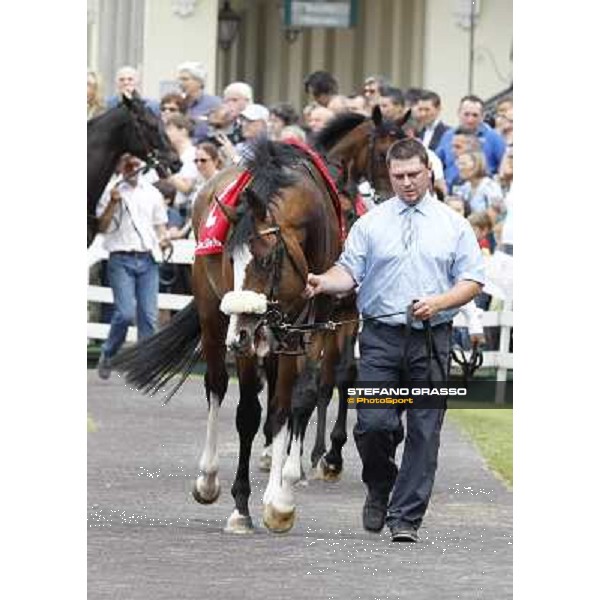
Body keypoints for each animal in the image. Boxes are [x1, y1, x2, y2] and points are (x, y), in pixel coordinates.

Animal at [114, 141, 342, 536]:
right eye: (229, 261)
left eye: (266, 261)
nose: (241, 336)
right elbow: (248, 412)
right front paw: (241, 506)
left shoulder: (306, 329)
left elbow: (291, 403)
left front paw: (280, 500)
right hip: (212, 313)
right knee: (217, 384)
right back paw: (207, 479)